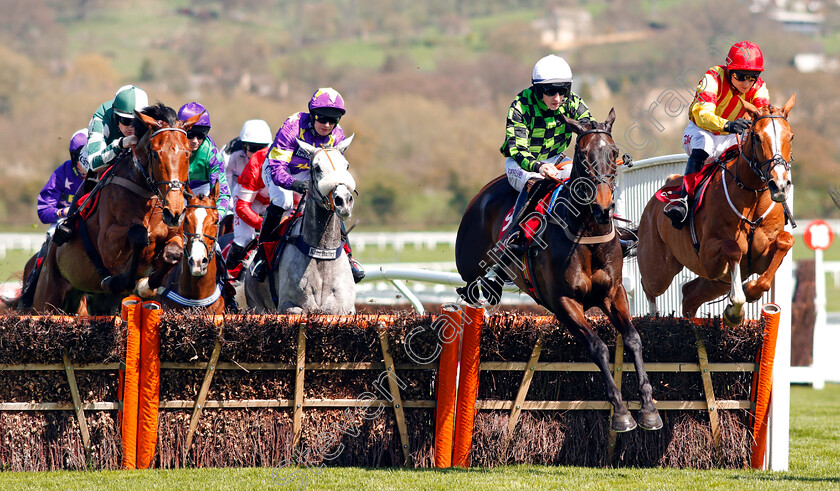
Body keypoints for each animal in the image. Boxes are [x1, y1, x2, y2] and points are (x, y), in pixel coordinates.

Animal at [30, 104, 202, 314]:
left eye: (187, 153)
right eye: (155, 153)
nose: (174, 212)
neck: (146, 196)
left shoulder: (174, 234)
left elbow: (174, 255)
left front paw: (146, 285)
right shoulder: (108, 243)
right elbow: (138, 234)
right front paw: (121, 281)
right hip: (47, 298)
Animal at [246, 135, 358, 314]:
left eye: (346, 165)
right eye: (317, 168)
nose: (344, 201)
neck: (322, 253)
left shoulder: (343, 309)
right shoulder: (290, 306)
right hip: (257, 306)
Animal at [456, 108, 660, 434]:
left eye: (614, 152)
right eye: (583, 155)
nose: (603, 208)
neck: (587, 233)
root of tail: (482, 194)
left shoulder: (614, 293)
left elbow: (632, 339)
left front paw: (649, 410)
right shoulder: (563, 302)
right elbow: (598, 347)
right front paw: (620, 413)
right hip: (468, 266)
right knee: (472, 289)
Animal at [640, 95, 796, 326]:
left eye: (791, 137)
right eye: (757, 137)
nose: (780, 185)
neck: (752, 197)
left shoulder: (759, 259)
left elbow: (785, 242)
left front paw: (751, 290)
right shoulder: (708, 256)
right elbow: (733, 248)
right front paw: (735, 310)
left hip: (715, 282)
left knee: (689, 293)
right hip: (659, 267)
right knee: (649, 286)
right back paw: (651, 318)